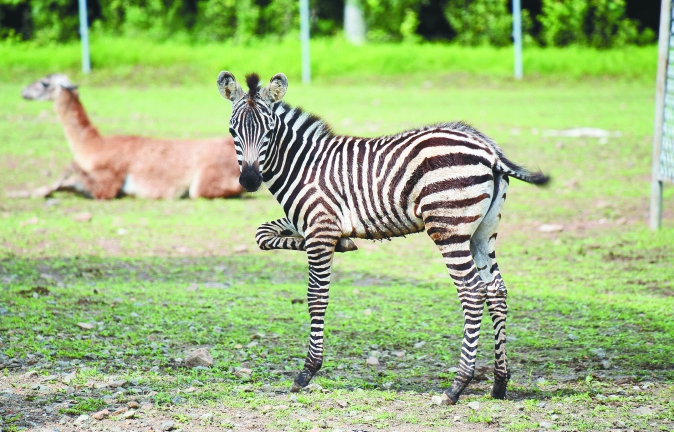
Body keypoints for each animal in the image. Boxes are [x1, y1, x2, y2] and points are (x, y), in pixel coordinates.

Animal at [218, 71, 548, 404]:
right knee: (496, 291)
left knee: (472, 292)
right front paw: (346, 243)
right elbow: (262, 233)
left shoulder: (321, 228)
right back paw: (499, 383)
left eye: (269, 131)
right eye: (232, 130)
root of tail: (489, 151)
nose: (250, 181)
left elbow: (316, 296)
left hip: (449, 229)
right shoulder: (308, 224)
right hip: (483, 232)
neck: (302, 165)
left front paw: (307, 371)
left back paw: (456, 387)